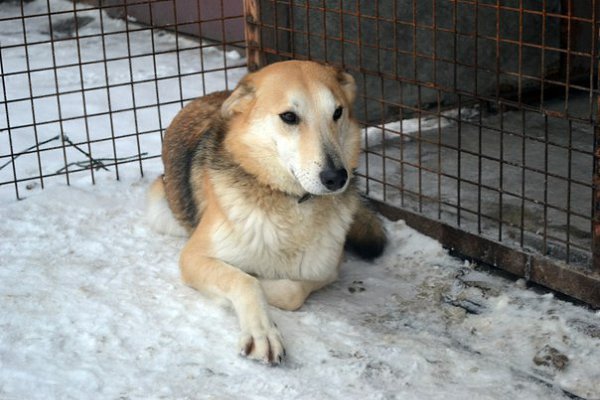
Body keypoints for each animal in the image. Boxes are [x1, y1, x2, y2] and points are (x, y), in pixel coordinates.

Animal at [148, 60, 386, 366]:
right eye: (289, 117)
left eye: (337, 113)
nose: (337, 177)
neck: (288, 201)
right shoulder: (193, 257)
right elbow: (245, 281)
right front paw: (262, 332)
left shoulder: (327, 268)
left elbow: (290, 290)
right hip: (160, 209)